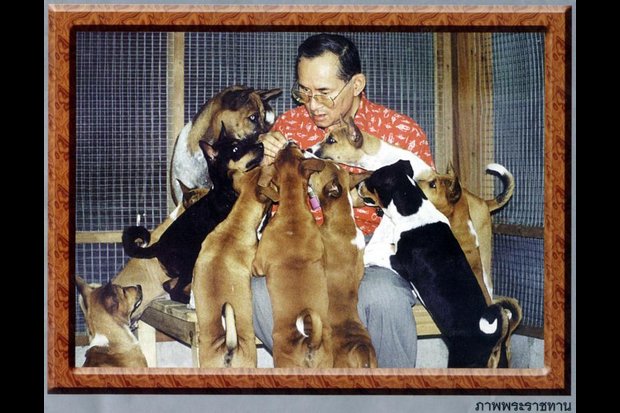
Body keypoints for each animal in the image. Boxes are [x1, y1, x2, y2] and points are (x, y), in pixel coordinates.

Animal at [251, 142, 332, 366]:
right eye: (296, 149)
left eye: (278, 155)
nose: (290, 142)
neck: (293, 210)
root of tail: (310, 342)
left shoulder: (258, 265)